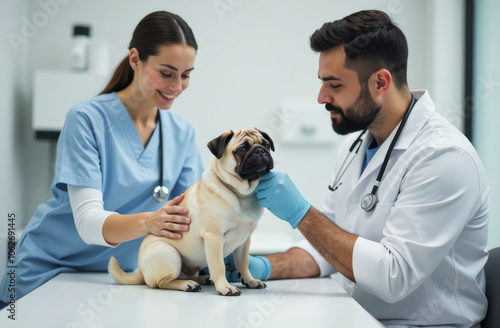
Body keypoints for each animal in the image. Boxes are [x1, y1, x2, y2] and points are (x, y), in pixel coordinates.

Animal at [107, 129, 276, 298]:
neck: (241, 194)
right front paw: (225, 287)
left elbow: (243, 263)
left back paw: (202, 279)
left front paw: (250, 280)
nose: (260, 150)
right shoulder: (214, 237)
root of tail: (141, 272)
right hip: (169, 254)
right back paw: (187, 285)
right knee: (162, 283)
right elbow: (219, 266)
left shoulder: (243, 241)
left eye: (266, 145)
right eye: (242, 149)